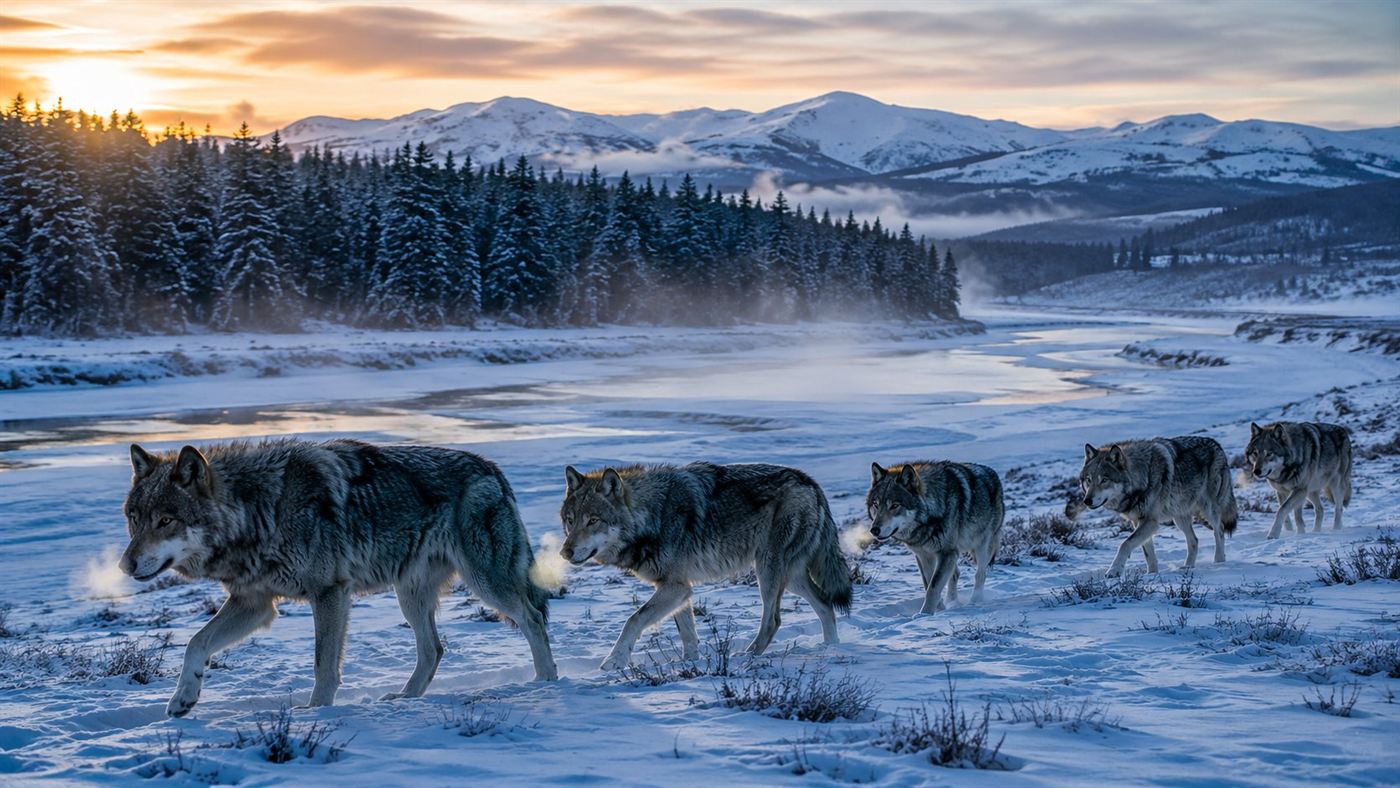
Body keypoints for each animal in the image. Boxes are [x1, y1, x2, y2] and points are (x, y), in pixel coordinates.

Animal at [120, 439, 557, 717]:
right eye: (135, 519)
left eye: (166, 521)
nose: (125, 566)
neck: (262, 510)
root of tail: (493, 470)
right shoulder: (255, 604)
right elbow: (195, 643)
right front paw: (184, 698)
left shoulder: (329, 593)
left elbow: (323, 664)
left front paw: (316, 712)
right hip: (410, 596)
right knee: (433, 649)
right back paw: (405, 697)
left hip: (485, 582)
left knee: (533, 618)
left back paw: (547, 683)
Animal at [558, 462, 852, 670]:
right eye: (570, 520)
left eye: (593, 520)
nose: (564, 552)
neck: (652, 517)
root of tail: (811, 483)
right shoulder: (678, 588)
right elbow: (688, 634)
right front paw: (689, 663)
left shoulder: (675, 587)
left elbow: (633, 620)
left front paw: (614, 661)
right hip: (789, 577)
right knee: (825, 604)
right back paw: (831, 648)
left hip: (767, 572)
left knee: (774, 620)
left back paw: (746, 658)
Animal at [866, 461, 1004, 615]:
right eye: (876, 504)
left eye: (895, 505)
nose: (874, 530)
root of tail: (991, 472)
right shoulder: (924, 555)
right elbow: (928, 583)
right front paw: (940, 608)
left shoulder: (946, 552)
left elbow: (933, 587)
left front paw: (924, 615)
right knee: (955, 574)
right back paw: (952, 603)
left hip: (981, 546)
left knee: (980, 574)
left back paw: (975, 601)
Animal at [1074, 436, 1238, 576]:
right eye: (1089, 480)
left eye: (1104, 480)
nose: (1087, 500)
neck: (1143, 475)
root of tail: (1217, 445)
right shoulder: (1138, 522)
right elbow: (1148, 552)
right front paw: (1152, 574)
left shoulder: (1150, 521)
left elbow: (1125, 544)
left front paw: (1114, 571)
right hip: (1179, 518)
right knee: (1194, 541)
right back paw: (1188, 567)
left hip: (1208, 509)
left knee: (1219, 530)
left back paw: (1219, 562)